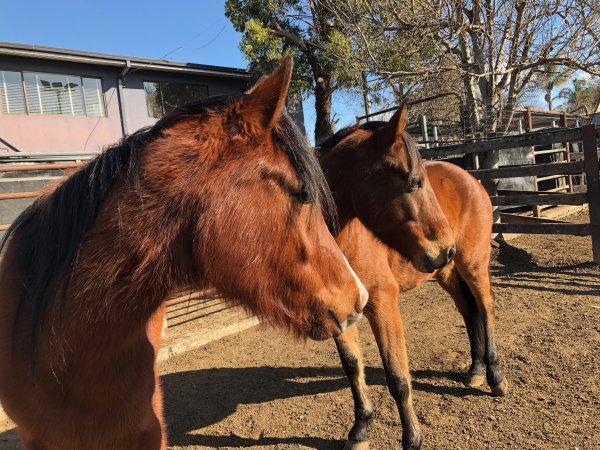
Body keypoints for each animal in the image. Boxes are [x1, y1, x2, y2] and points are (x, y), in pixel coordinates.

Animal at [318, 105, 506, 450]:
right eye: (415, 182)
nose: (445, 248)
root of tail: (469, 178)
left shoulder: (383, 304)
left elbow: (397, 377)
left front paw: (413, 438)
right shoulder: (339, 313)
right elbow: (353, 368)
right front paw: (360, 430)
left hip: (473, 263)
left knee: (486, 307)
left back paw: (495, 377)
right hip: (447, 272)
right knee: (469, 310)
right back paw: (475, 370)